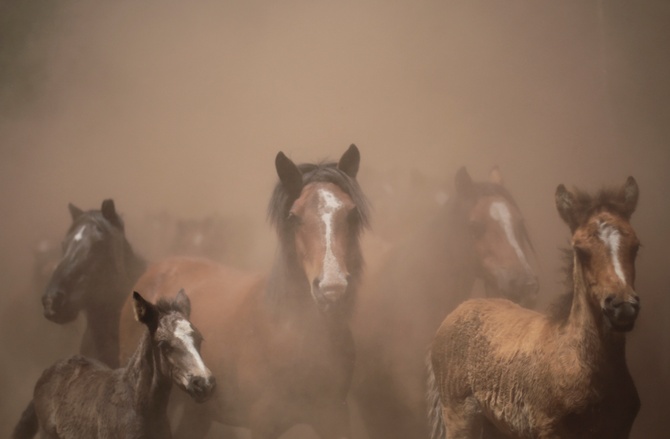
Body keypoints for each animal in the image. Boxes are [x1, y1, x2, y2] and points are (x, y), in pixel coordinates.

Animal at [119, 144, 372, 439]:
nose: (331, 287)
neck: (294, 335)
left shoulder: (334, 416)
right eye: (294, 216)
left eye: (351, 213)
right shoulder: (262, 423)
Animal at [428, 177, 644, 439]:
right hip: (460, 419)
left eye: (635, 246)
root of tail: (458, 309)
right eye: (580, 251)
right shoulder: (549, 430)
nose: (622, 307)